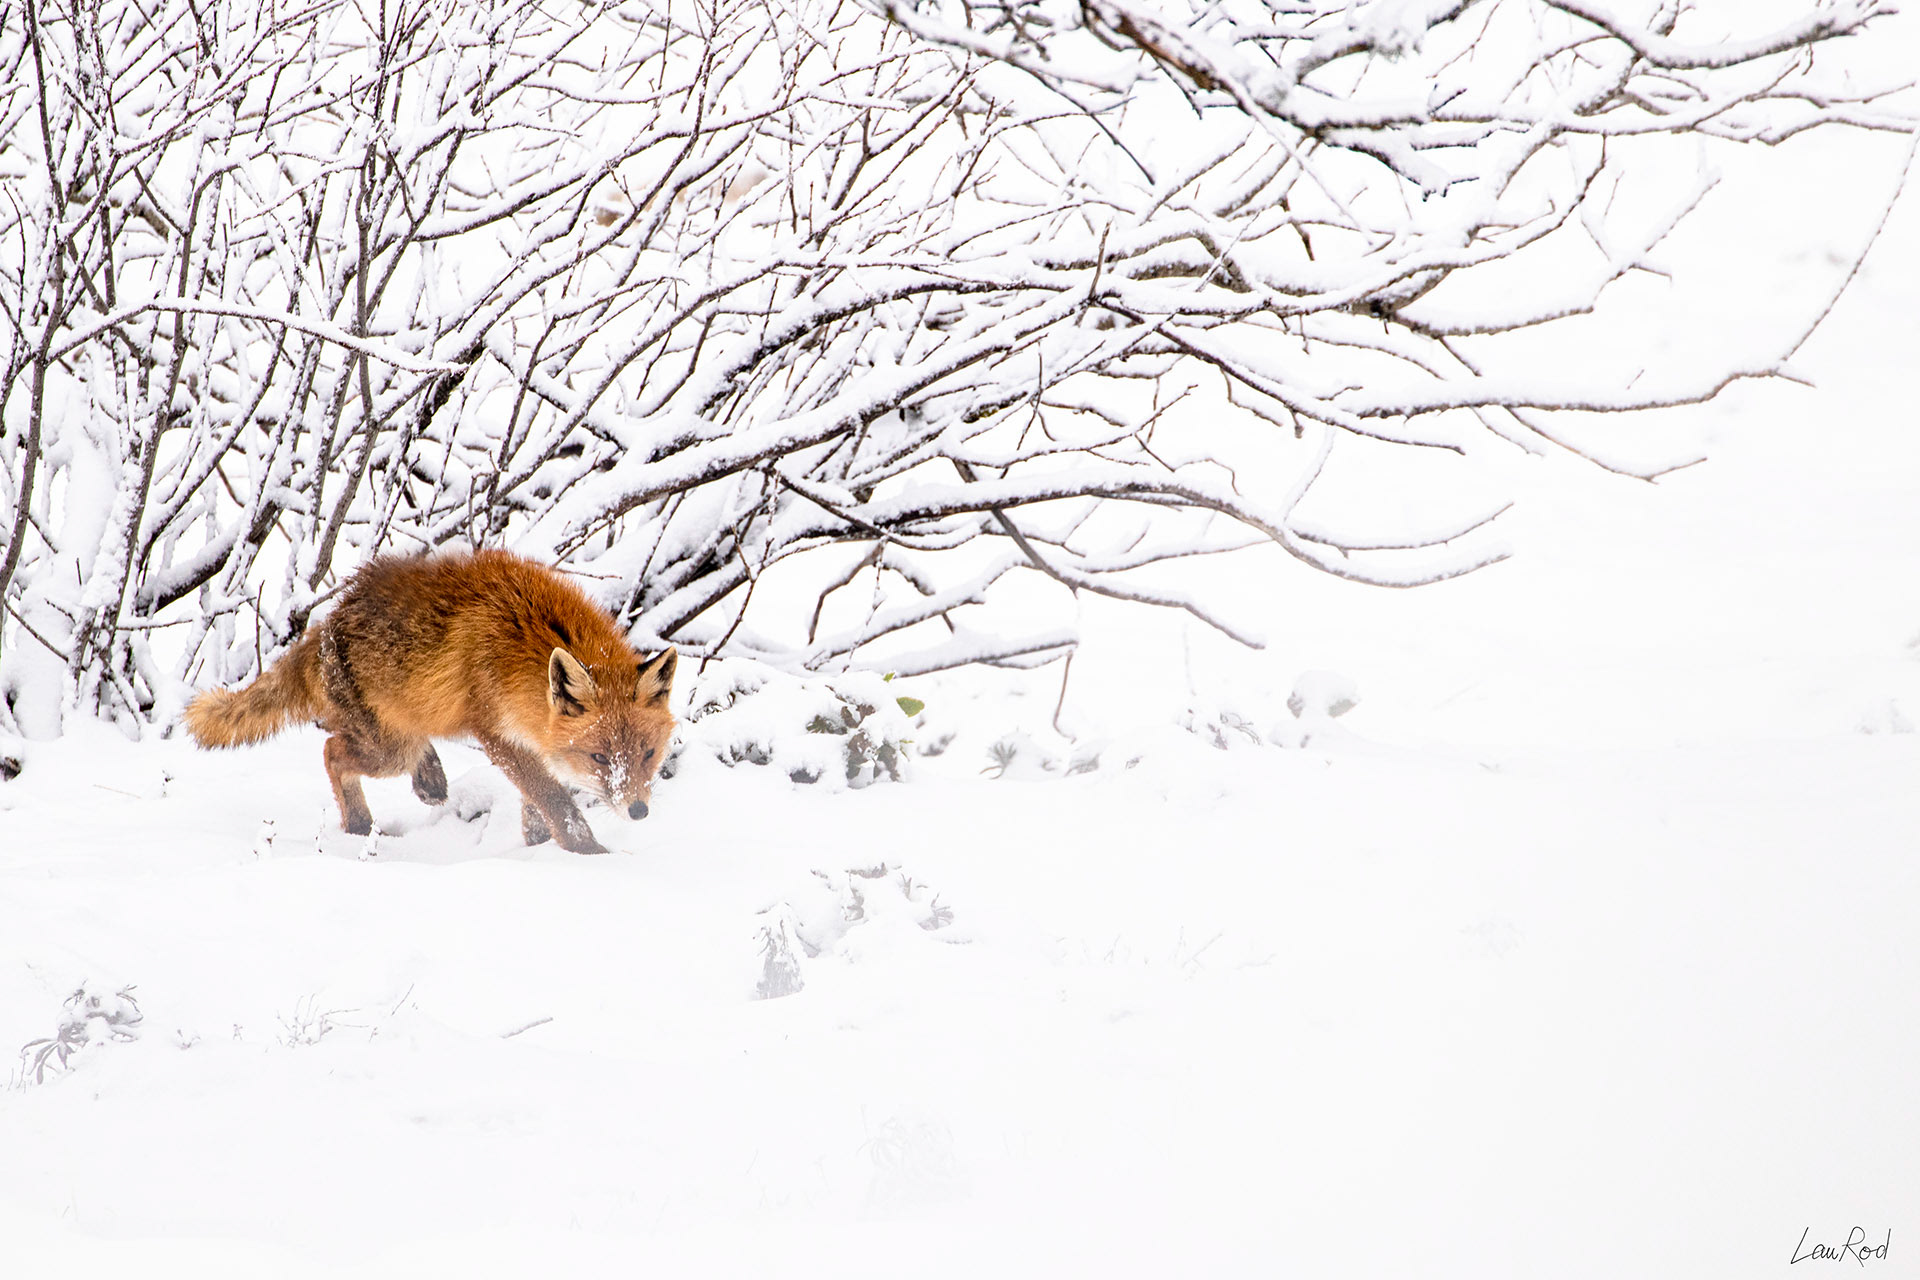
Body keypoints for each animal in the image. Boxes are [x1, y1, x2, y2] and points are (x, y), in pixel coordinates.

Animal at [183, 549, 677, 856]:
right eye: (599, 758)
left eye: (648, 754)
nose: (638, 811)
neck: (521, 641)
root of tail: (324, 626)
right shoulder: (497, 733)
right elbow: (557, 804)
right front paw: (590, 855)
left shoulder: (533, 736)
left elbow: (537, 809)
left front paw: (538, 848)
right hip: (388, 751)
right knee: (332, 751)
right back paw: (360, 829)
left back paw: (429, 776)